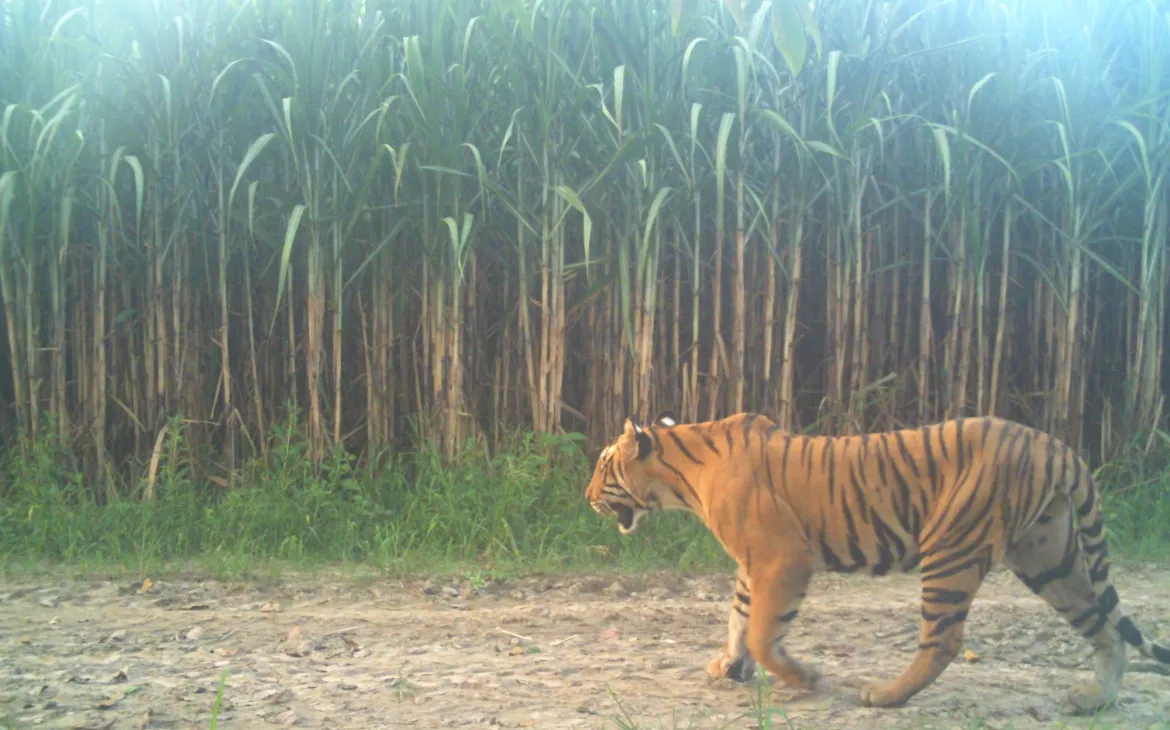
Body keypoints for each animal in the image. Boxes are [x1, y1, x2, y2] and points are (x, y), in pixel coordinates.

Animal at [584, 411, 1170, 712]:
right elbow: (738, 617)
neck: (681, 476)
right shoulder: (754, 564)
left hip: (951, 549)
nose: (586, 496)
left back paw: (884, 696)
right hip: (1049, 558)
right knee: (1105, 628)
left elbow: (762, 631)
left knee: (942, 640)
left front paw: (806, 678)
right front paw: (729, 666)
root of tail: (1055, 446)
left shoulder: (781, 558)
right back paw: (1093, 699)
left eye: (603, 465)